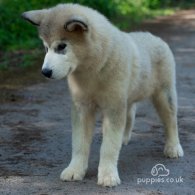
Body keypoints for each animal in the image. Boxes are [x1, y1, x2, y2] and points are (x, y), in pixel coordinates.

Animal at [22, 3, 184, 187]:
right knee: (131, 114)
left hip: (164, 94)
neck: (92, 70)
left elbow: (108, 147)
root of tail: (155, 38)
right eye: (46, 48)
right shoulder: (82, 108)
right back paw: (125, 138)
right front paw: (75, 170)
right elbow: (79, 144)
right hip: (128, 97)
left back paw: (173, 147)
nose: (45, 72)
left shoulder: (113, 108)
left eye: (62, 47)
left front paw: (108, 175)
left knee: (171, 121)